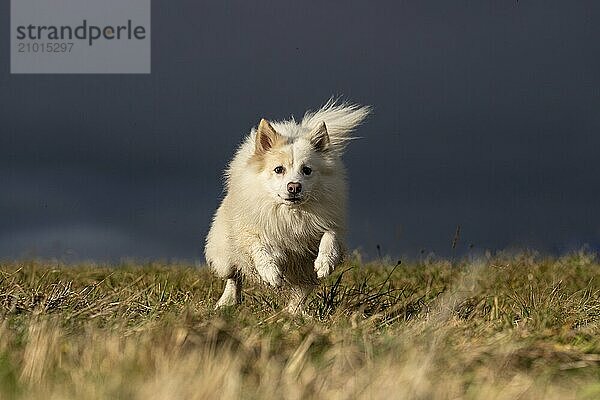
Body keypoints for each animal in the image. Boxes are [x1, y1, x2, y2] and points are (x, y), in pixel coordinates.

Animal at [204, 100, 368, 312]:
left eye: (307, 170)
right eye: (278, 169)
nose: (294, 187)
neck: (292, 213)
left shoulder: (329, 226)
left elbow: (329, 237)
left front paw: (325, 263)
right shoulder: (252, 232)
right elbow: (260, 248)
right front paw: (271, 274)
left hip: (304, 274)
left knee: (300, 293)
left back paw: (293, 313)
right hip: (224, 258)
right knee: (234, 276)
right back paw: (227, 302)